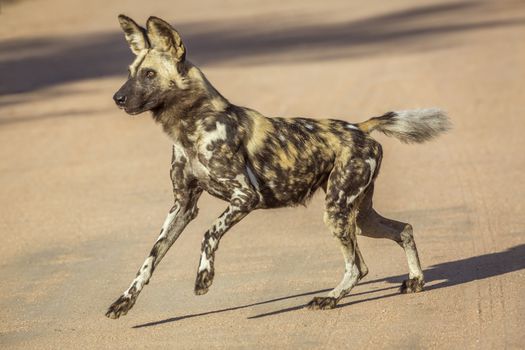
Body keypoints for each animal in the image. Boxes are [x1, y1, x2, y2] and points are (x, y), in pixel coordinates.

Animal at [105, 15, 450, 318]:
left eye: (149, 74)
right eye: (130, 71)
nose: (117, 98)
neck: (190, 127)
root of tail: (360, 127)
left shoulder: (245, 197)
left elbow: (209, 233)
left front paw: (204, 278)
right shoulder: (182, 206)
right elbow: (149, 259)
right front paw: (124, 301)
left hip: (337, 211)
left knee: (357, 266)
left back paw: (329, 299)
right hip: (359, 216)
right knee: (402, 230)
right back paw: (416, 281)